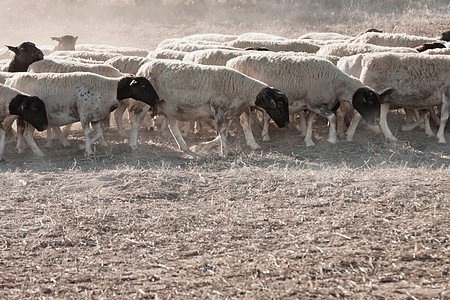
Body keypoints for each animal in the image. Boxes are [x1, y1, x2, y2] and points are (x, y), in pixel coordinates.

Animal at [5, 72, 159, 157]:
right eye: (144, 86)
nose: (157, 99)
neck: (108, 89)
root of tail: (11, 80)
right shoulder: (84, 114)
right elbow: (87, 133)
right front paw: (88, 151)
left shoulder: (96, 116)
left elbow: (98, 133)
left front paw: (82, 147)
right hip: (32, 118)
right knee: (26, 134)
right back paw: (38, 153)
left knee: (22, 131)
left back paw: (22, 149)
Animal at [132, 59, 290, 157]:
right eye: (280, 104)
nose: (287, 123)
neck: (242, 88)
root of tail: (143, 67)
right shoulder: (218, 109)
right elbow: (223, 130)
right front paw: (226, 151)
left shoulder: (229, 114)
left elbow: (224, 132)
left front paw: (206, 145)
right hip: (144, 102)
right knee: (136, 121)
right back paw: (133, 145)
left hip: (171, 107)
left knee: (172, 126)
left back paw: (187, 149)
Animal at [227, 54, 388, 148]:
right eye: (370, 102)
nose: (375, 121)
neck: (337, 83)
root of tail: (230, 63)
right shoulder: (316, 103)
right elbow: (333, 117)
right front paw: (332, 139)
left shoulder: (312, 106)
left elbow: (311, 123)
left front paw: (309, 141)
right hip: (245, 102)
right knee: (245, 122)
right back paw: (252, 143)